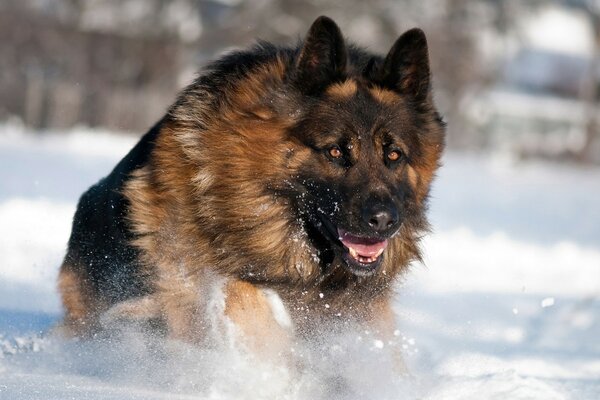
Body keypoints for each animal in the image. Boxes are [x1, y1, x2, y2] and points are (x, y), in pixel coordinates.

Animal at [58, 14, 446, 360]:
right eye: (335, 151)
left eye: (393, 155)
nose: (383, 221)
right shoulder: (191, 280)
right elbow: (245, 299)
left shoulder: (361, 310)